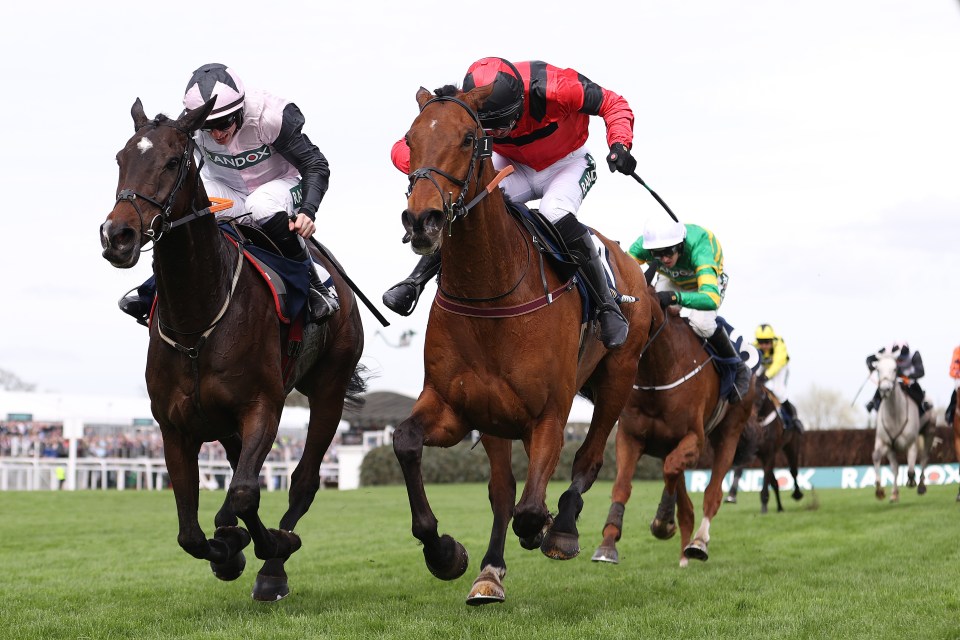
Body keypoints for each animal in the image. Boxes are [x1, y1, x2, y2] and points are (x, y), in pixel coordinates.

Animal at [99, 99, 366, 600]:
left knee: (303, 481)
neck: (196, 323)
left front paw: (263, 545)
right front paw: (228, 551)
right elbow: (190, 531)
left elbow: (242, 494)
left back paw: (275, 565)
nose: (117, 235)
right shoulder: (174, 425)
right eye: (121, 159)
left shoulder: (263, 405)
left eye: (172, 161)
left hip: (330, 387)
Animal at [392, 86, 652, 604]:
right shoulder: (456, 407)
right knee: (503, 490)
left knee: (588, 459)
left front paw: (547, 528)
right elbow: (407, 441)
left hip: (618, 377)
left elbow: (532, 507)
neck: (490, 290)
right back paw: (490, 572)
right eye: (410, 140)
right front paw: (446, 553)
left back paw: (563, 527)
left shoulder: (550, 412)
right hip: (496, 417)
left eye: (469, 138)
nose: (422, 219)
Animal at [588, 308, 752, 568]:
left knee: (712, 494)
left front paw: (663, 521)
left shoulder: (694, 440)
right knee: (686, 507)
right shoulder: (630, 437)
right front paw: (608, 544)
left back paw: (698, 543)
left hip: (729, 432)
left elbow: (672, 470)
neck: (657, 373)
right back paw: (684, 555)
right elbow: (622, 485)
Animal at [724, 382, 808, 512]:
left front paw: (764, 505)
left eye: (761, 396)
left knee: (793, 471)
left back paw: (797, 494)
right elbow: (739, 470)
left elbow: (766, 477)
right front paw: (731, 495)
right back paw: (780, 507)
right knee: (774, 481)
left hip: (791, 445)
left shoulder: (769, 453)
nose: (748, 418)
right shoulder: (750, 450)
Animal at [872, 350, 932, 500]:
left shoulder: (911, 443)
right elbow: (878, 457)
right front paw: (880, 490)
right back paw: (894, 493)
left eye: (895, 369)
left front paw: (911, 481)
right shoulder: (886, 443)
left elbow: (910, 469)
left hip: (929, 432)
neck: (894, 414)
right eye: (878, 369)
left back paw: (921, 486)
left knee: (924, 459)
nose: (885, 389)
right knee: (896, 467)